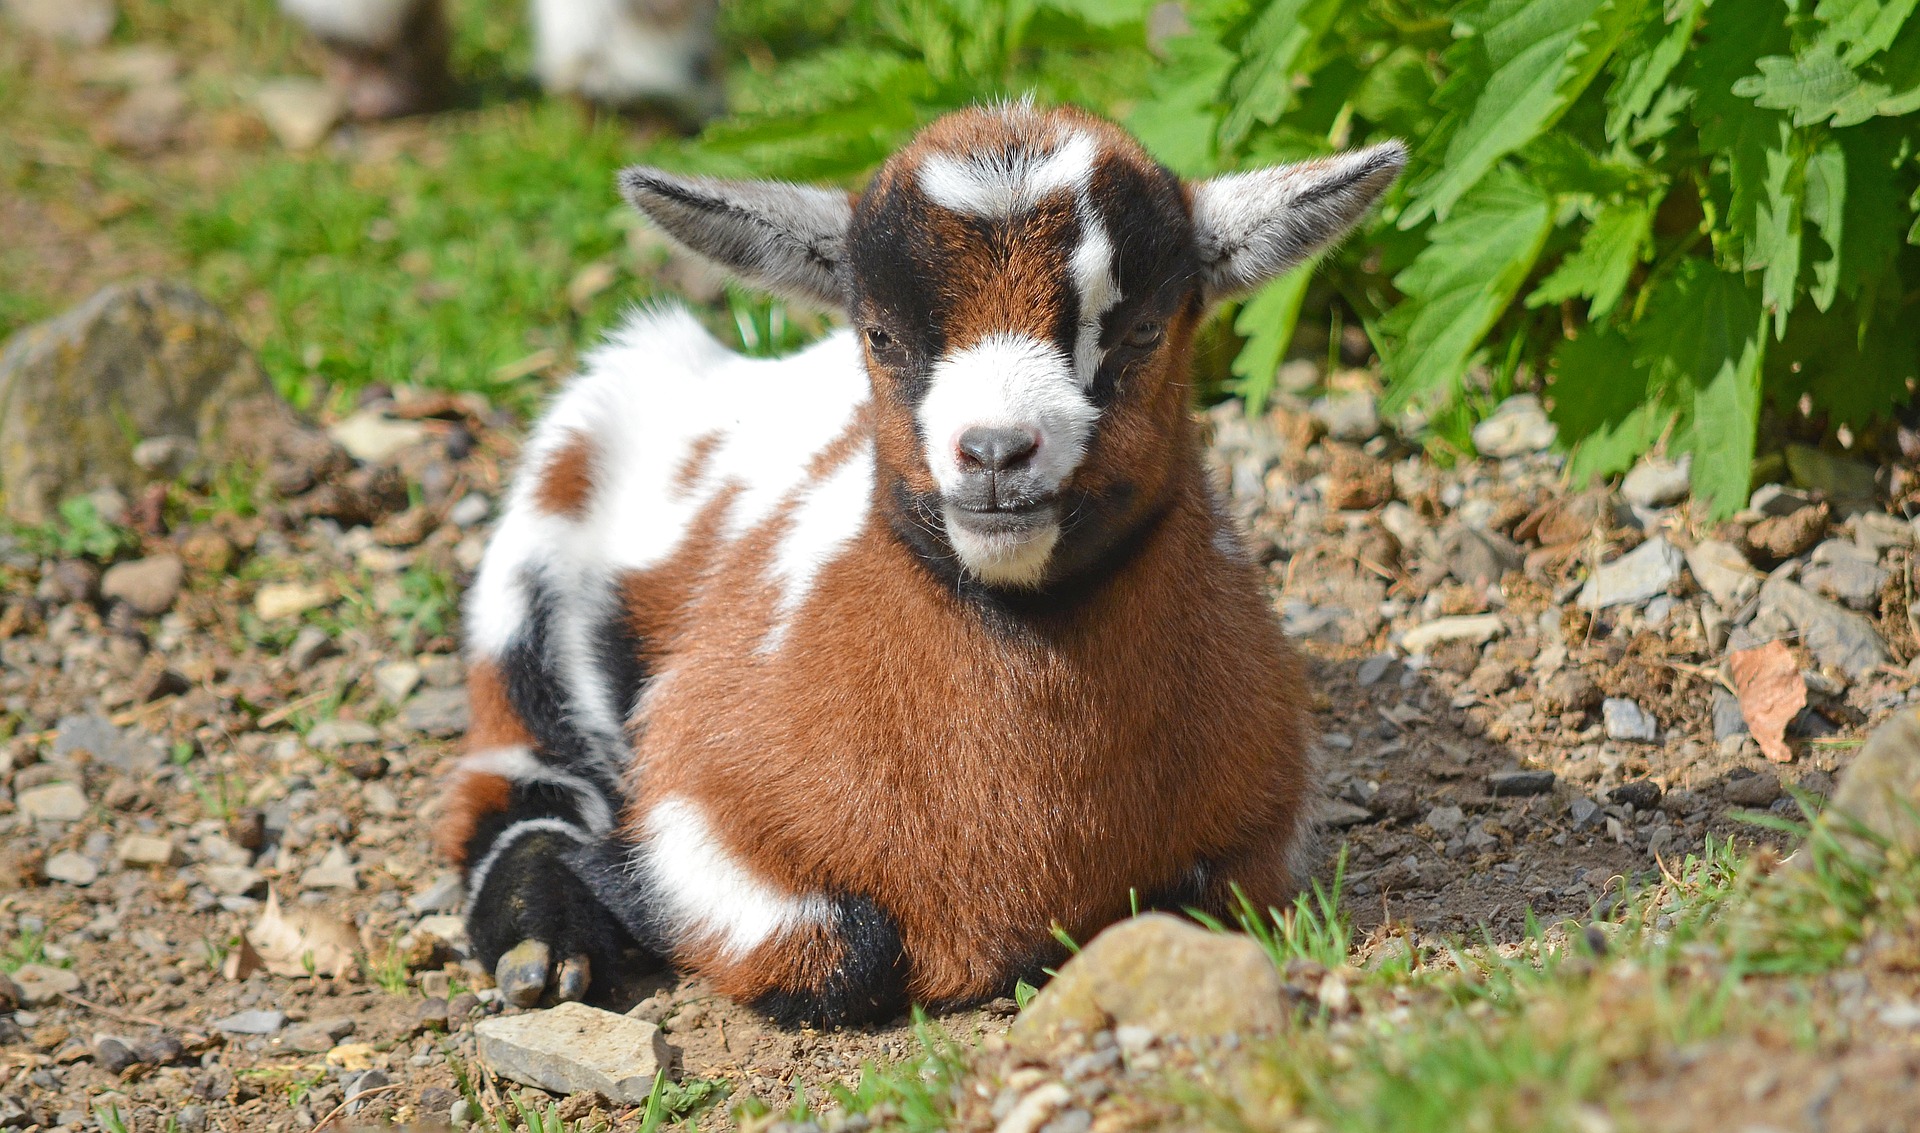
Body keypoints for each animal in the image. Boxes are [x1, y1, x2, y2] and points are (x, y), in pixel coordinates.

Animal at [441, 104, 1405, 1029]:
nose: (995, 452)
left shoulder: (1260, 837)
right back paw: (540, 940)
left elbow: (1195, 898)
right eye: (882, 334)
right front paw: (614, 888)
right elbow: (845, 949)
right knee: (519, 770)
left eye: (1141, 329)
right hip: (547, 529)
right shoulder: (697, 801)